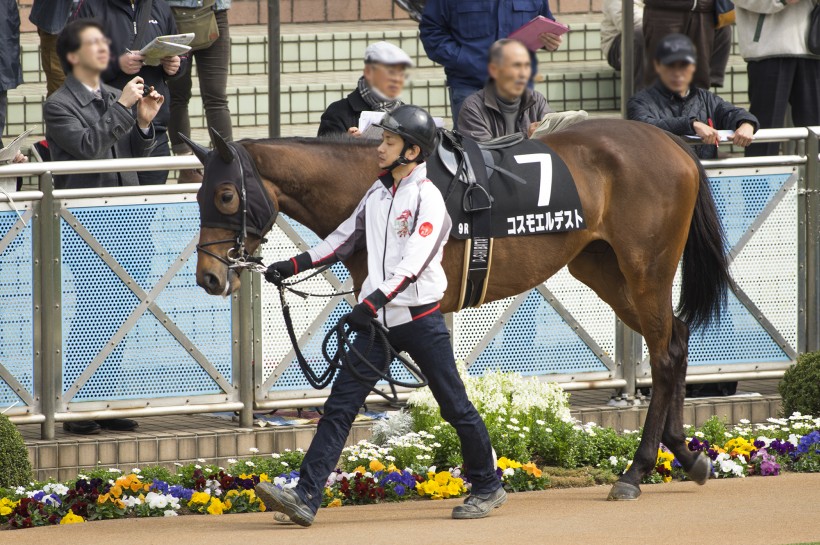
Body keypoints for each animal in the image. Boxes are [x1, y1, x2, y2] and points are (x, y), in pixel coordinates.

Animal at [181, 120, 732, 502]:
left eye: (226, 195)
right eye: (199, 192)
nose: (209, 278)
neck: (381, 183)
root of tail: (672, 143)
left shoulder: (401, 309)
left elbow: (442, 397)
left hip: (646, 268)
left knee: (662, 354)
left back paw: (636, 471)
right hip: (600, 268)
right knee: (676, 339)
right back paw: (686, 456)